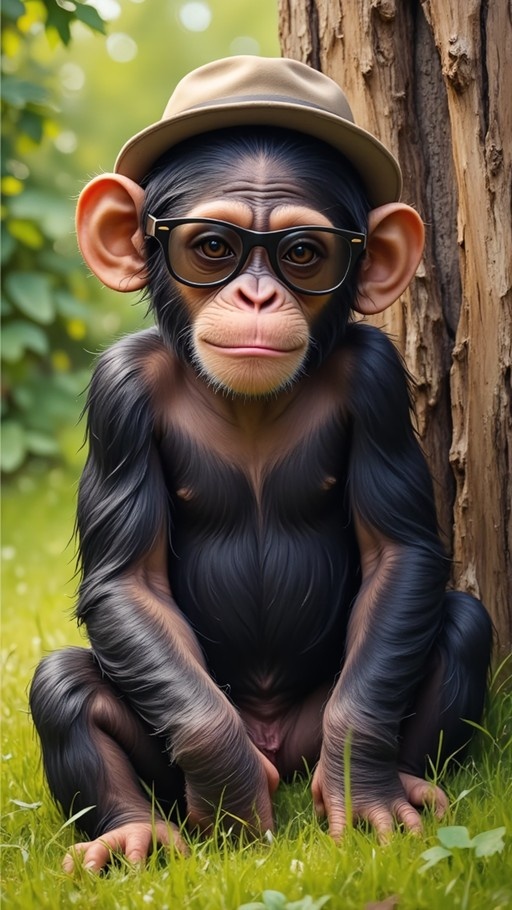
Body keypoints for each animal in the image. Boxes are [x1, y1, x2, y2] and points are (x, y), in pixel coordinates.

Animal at [29, 56, 492, 873]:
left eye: (303, 253)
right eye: (212, 248)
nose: (255, 292)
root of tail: (278, 741)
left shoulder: (378, 377)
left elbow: (399, 552)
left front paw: (363, 783)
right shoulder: (117, 390)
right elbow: (128, 579)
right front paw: (230, 787)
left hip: (309, 733)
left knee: (460, 624)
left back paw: (403, 781)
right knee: (64, 688)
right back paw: (133, 831)